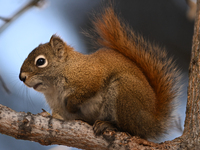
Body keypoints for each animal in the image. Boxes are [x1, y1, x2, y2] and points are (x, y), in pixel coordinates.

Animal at [19, 5, 181, 140]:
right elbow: (61, 117)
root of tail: (152, 122)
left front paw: (71, 105)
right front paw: (47, 115)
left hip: (125, 93)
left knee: (130, 129)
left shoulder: (91, 76)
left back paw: (108, 125)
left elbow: (85, 91)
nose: (21, 77)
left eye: (41, 61)